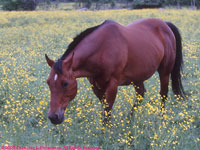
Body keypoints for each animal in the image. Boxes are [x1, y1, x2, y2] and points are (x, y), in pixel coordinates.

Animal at [45, 18, 184, 125]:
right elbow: (105, 110)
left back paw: (161, 120)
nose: (53, 117)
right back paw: (129, 120)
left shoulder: (112, 85)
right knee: (141, 94)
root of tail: (165, 24)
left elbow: (107, 111)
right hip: (137, 78)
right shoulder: (96, 86)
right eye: (48, 83)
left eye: (65, 83)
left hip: (164, 72)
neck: (101, 49)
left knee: (163, 95)